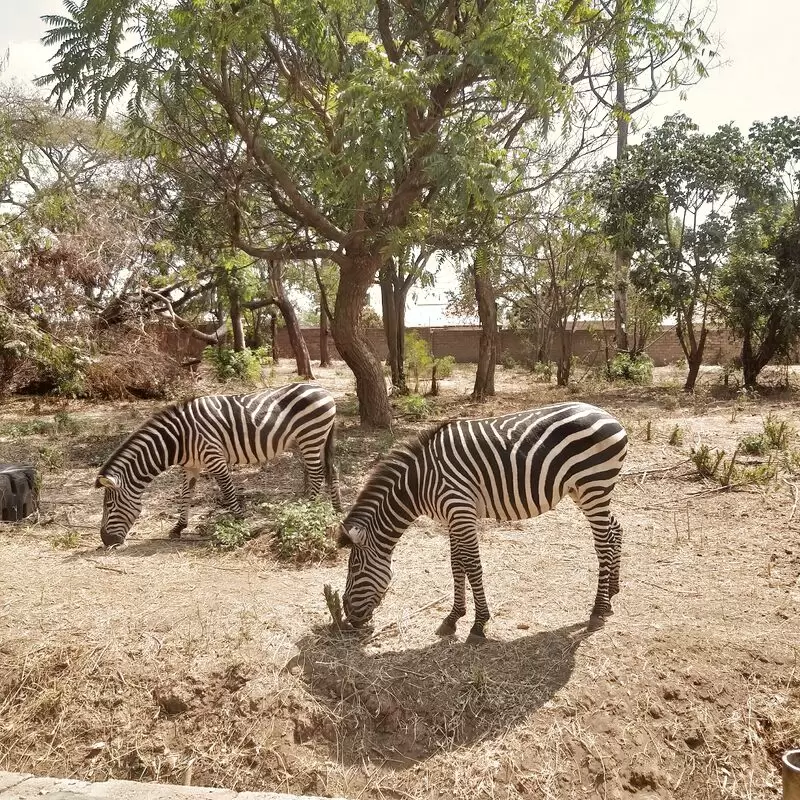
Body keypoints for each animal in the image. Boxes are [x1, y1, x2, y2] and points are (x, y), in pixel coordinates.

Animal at [96, 382, 340, 548]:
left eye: (108, 506)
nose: (106, 542)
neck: (179, 439)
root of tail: (323, 389)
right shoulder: (191, 466)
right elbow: (185, 496)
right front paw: (178, 527)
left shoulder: (214, 458)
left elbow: (228, 492)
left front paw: (241, 523)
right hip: (306, 441)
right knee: (331, 470)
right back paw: (336, 510)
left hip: (310, 436)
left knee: (317, 473)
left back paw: (309, 511)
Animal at [334, 404, 628, 640]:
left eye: (355, 569)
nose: (348, 616)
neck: (419, 484)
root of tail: (609, 416)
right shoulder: (452, 517)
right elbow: (456, 565)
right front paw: (453, 618)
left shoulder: (461, 511)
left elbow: (472, 566)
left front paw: (479, 624)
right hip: (586, 491)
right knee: (615, 529)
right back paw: (612, 595)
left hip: (593, 486)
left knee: (603, 543)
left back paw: (597, 611)